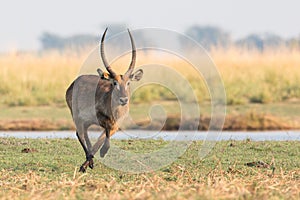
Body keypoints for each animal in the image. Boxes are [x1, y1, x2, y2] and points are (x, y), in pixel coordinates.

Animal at [66, 28, 144, 172]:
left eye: (128, 82)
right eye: (114, 82)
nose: (123, 100)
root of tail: (75, 82)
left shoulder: (116, 125)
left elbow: (101, 139)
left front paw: (91, 160)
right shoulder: (101, 119)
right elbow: (103, 133)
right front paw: (98, 155)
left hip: (84, 121)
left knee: (85, 134)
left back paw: (90, 161)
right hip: (77, 117)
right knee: (80, 134)